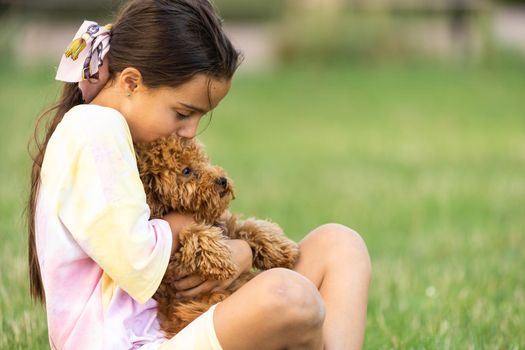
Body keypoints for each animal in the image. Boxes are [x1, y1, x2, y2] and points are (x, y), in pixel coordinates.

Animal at [134, 135, 298, 338]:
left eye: (204, 161)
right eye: (186, 171)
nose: (222, 180)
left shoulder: (227, 225)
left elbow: (248, 227)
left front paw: (282, 249)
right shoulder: (173, 262)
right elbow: (194, 233)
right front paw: (220, 260)